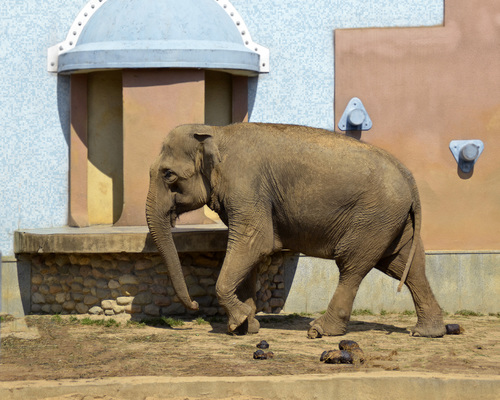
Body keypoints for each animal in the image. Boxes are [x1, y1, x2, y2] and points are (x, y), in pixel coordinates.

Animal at [146, 122, 448, 338]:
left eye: (168, 174)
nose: (195, 307)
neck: (216, 131)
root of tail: (408, 176)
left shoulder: (246, 186)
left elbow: (254, 242)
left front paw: (239, 322)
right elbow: (247, 251)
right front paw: (246, 324)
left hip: (373, 218)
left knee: (353, 265)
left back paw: (319, 330)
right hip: (393, 220)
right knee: (406, 264)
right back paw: (426, 332)